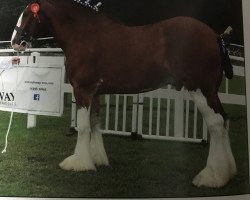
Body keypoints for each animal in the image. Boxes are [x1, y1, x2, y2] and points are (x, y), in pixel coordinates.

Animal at [10, 0, 236, 188]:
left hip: (201, 89)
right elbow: (95, 123)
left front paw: (79, 162)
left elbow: (83, 127)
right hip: (211, 91)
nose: (15, 42)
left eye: (28, 14)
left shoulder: (83, 90)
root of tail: (214, 36)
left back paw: (211, 177)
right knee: (225, 120)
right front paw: (97, 159)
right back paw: (228, 172)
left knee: (216, 124)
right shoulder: (96, 92)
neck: (83, 35)